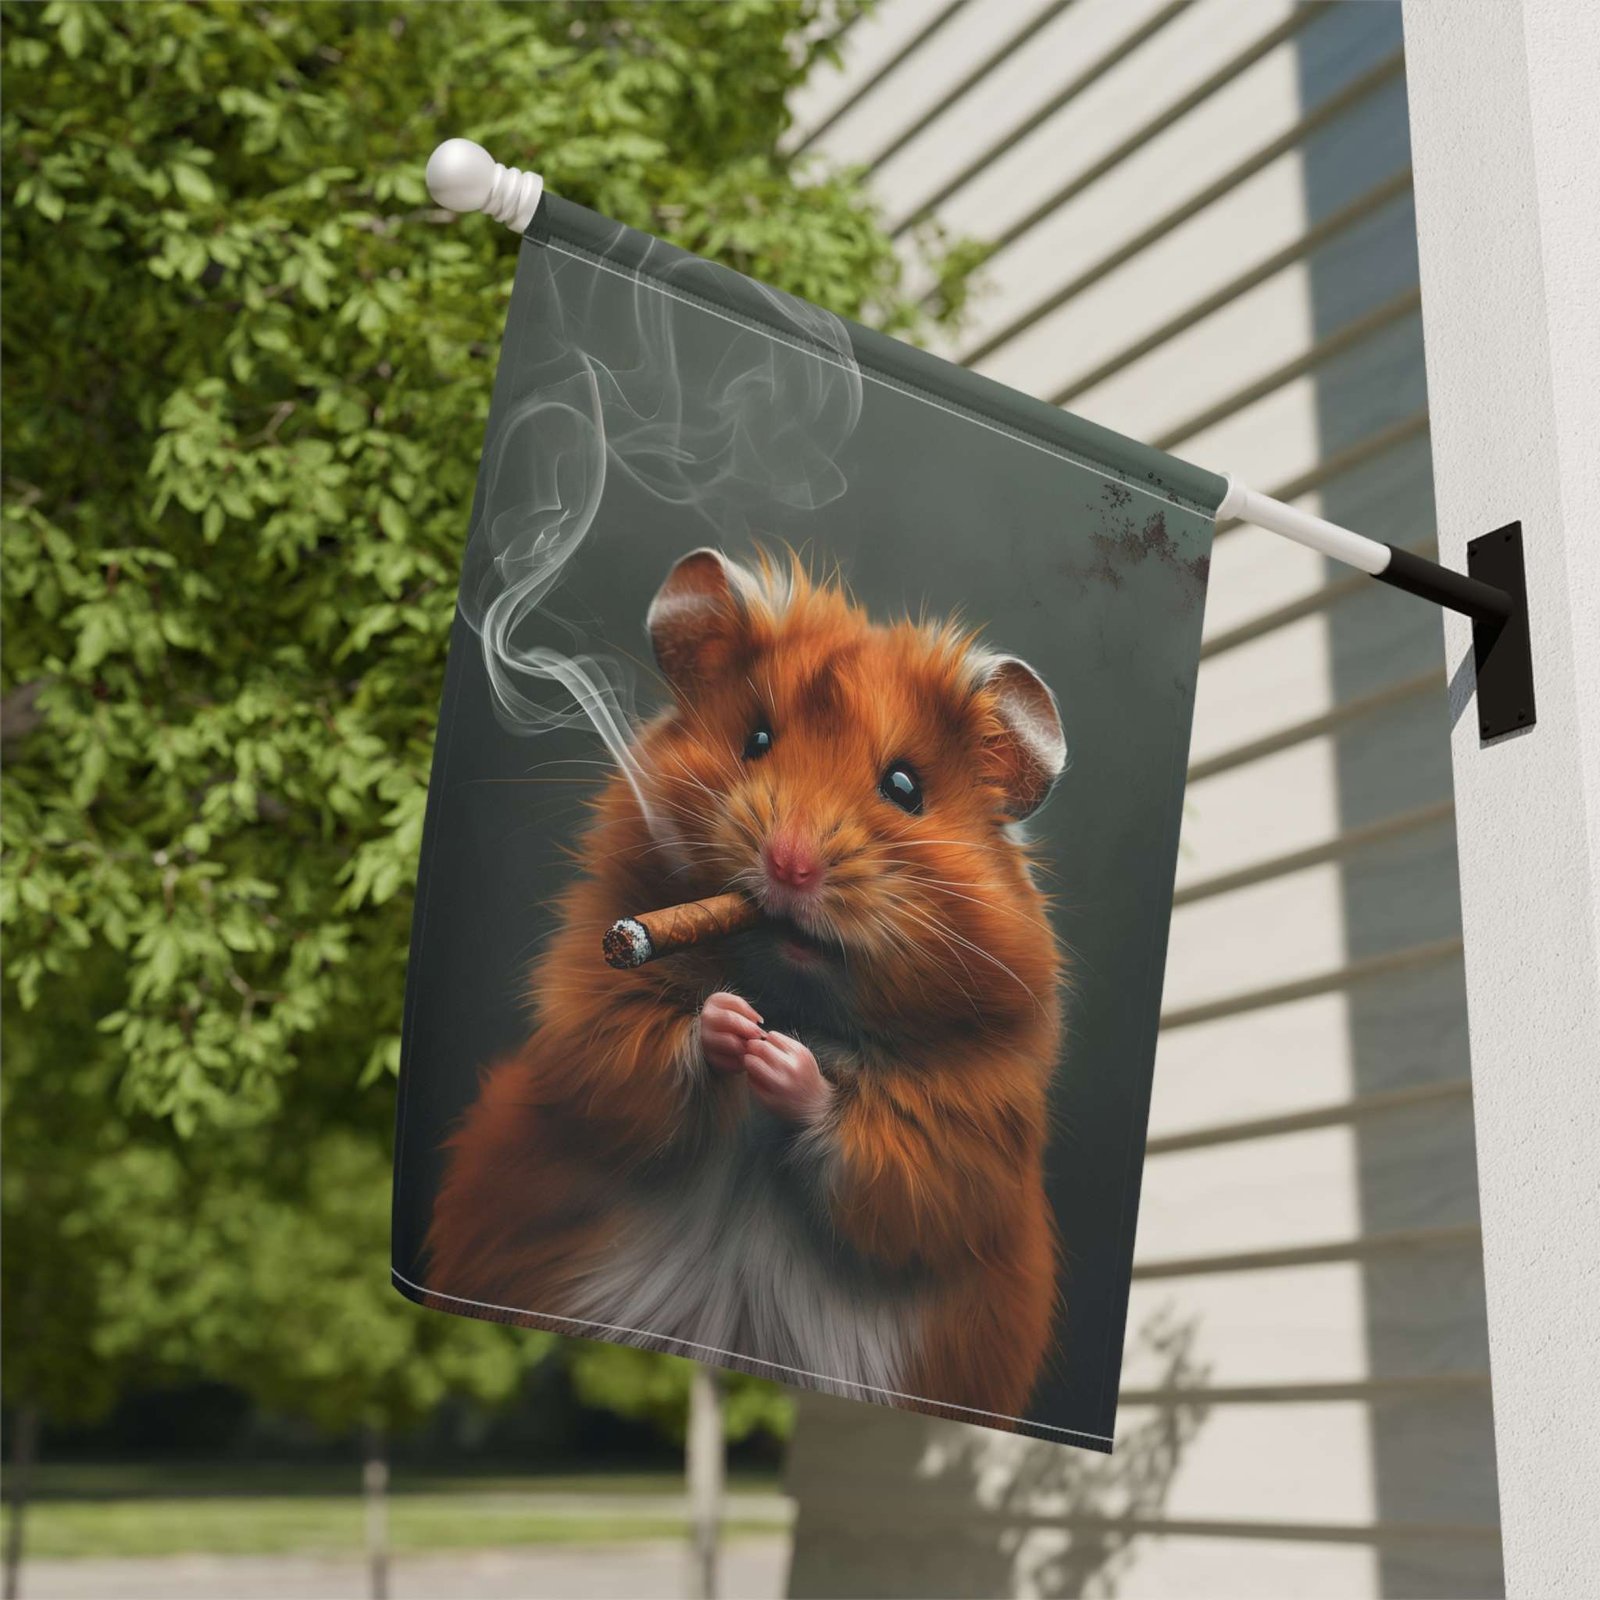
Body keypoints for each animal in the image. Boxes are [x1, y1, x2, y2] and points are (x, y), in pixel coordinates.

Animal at [426, 548, 1068, 1425]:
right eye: (755, 739)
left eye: (905, 787)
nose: (788, 863)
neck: (794, 994)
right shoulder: (591, 1018)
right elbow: (633, 1063)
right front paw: (730, 1025)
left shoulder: (963, 1133)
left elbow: (891, 1168)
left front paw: (781, 1062)